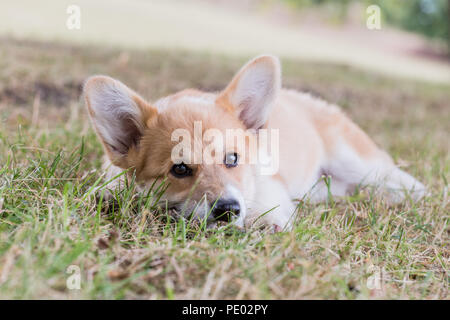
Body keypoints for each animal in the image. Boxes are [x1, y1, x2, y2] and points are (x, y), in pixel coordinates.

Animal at [83, 55, 426, 230]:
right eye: (179, 169)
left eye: (232, 159)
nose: (228, 210)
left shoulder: (270, 195)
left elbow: (266, 214)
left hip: (356, 162)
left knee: (409, 184)